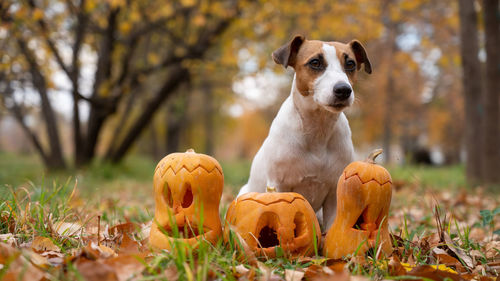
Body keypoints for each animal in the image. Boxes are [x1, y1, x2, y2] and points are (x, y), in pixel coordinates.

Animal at [237, 35, 372, 229]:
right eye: (315, 62)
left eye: (350, 64)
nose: (343, 89)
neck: (318, 129)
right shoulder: (279, 185)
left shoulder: (334, 193)